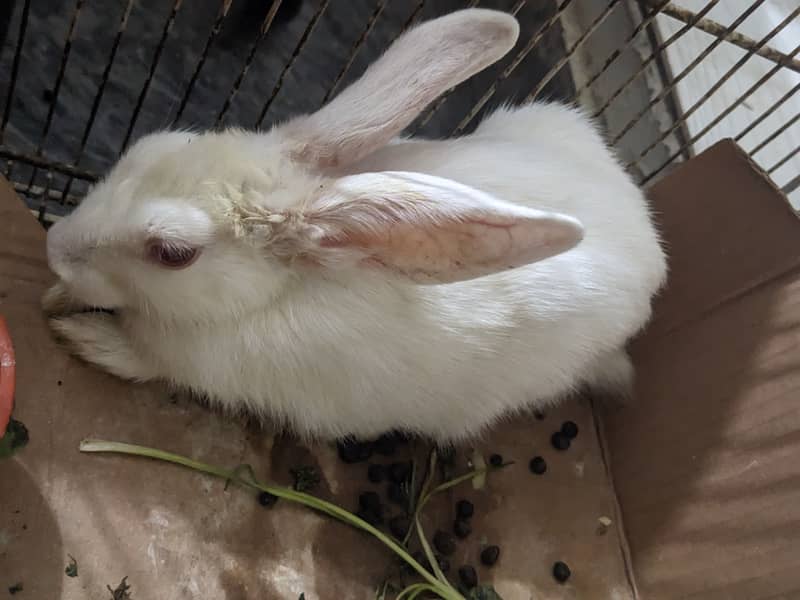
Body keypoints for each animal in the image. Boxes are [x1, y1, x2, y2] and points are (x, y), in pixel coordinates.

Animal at [43, 8, 667, 442]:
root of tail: (653, 253)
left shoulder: (184, 361)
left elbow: (143, 361)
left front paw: (82, 335)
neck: (263, 298)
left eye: (172, 253)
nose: (54, 246)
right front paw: (56, 297)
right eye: (146, 146)